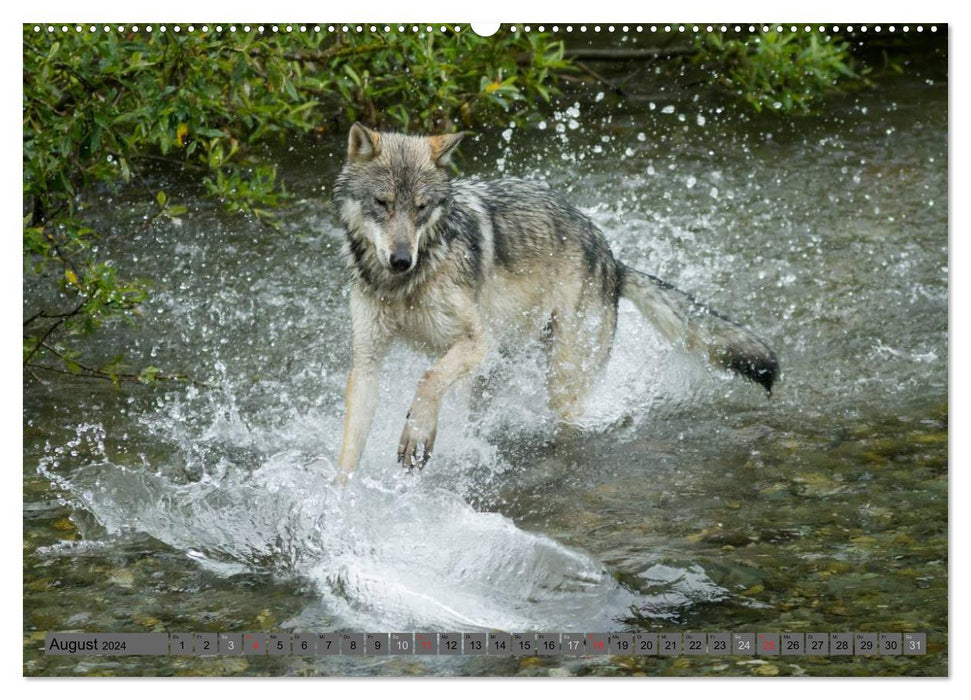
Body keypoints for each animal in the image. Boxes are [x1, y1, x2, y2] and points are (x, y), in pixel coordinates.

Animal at [330, 121, 780, 482]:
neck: (400, 286)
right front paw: (341, 500)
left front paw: (418, 433)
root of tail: (613, 260)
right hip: (496, 372)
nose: (401, 260)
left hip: (560, 379)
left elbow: (428, 379)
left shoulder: (477, 341)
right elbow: (350, 446)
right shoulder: (367, 361)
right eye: (382, 203)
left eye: (421, 208)